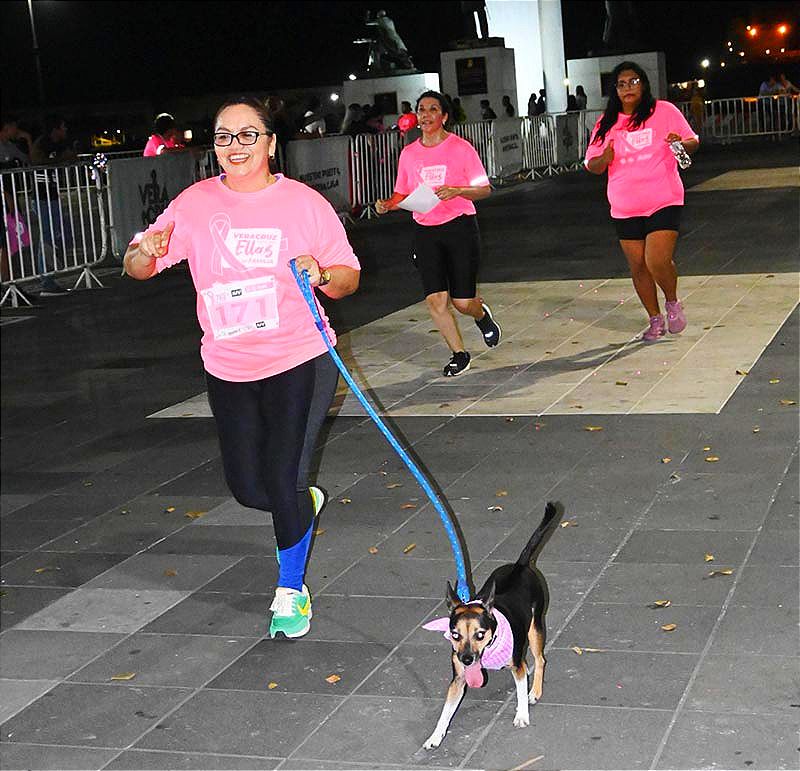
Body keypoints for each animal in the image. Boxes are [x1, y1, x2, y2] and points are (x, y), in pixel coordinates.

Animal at [422, 502, 561, 749]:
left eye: (480, 634)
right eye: (454, 635)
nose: (466, 659)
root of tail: (519, 565)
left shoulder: (517, 666)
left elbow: (520, 691)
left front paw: (522, 715)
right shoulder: (458, 679)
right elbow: (446, 711)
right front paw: (436, 736)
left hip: (535, 629)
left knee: (540, 659)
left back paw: (535, 691)